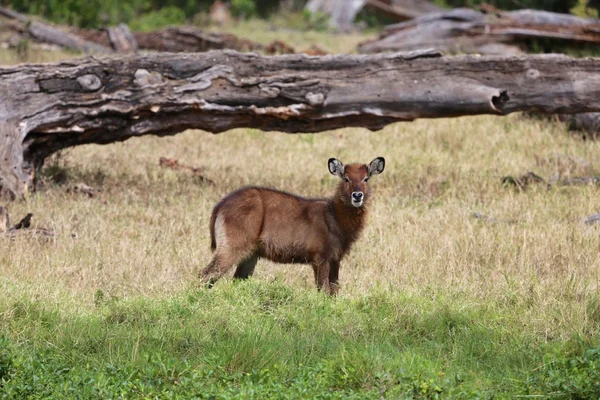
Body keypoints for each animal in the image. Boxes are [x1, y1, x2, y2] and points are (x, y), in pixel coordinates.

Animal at [199, 158, 382, 296]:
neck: (335, 217)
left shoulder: (336, 258)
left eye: (366, 178)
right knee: (206, 274)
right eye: (346, 178)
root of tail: (219, 206)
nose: (357, 195)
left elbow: (334, 291)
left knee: (237, 280)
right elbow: (323, 290)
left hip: (251, 254)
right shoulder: (320, 257)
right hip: (232, 247)